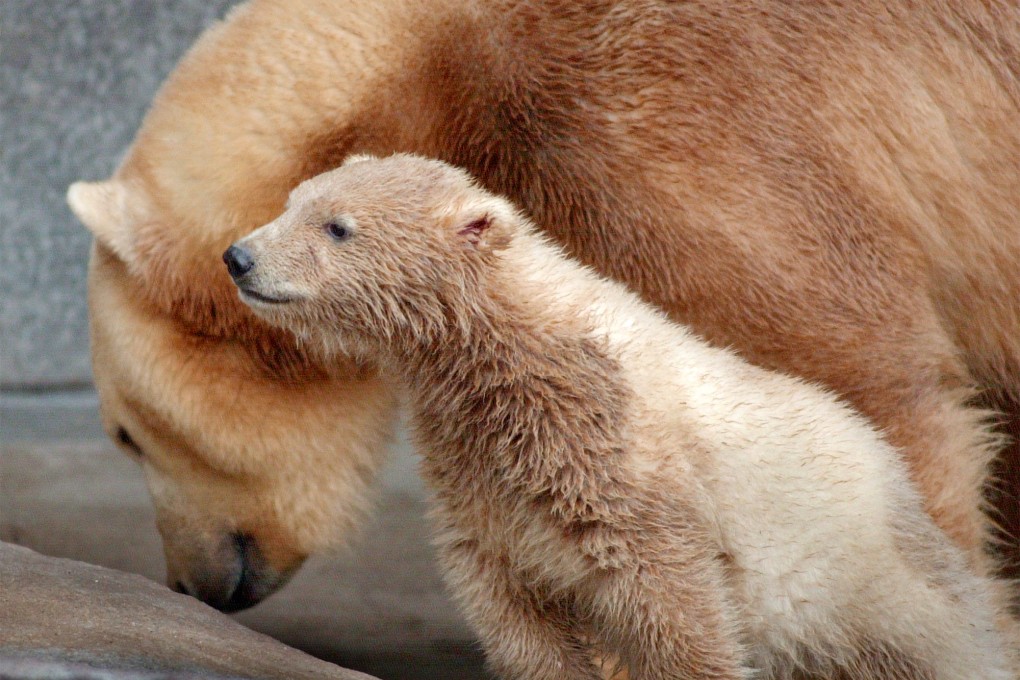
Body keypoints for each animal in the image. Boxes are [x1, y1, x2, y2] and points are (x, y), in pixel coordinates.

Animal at [226, 153, 1013, 680]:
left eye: (338, 227)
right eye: (295, 199)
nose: (238, 256)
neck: (528, 356)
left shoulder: (629, 471)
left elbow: (677, 608)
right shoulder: (476, 476)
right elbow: (510, 603)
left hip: (878, 587)